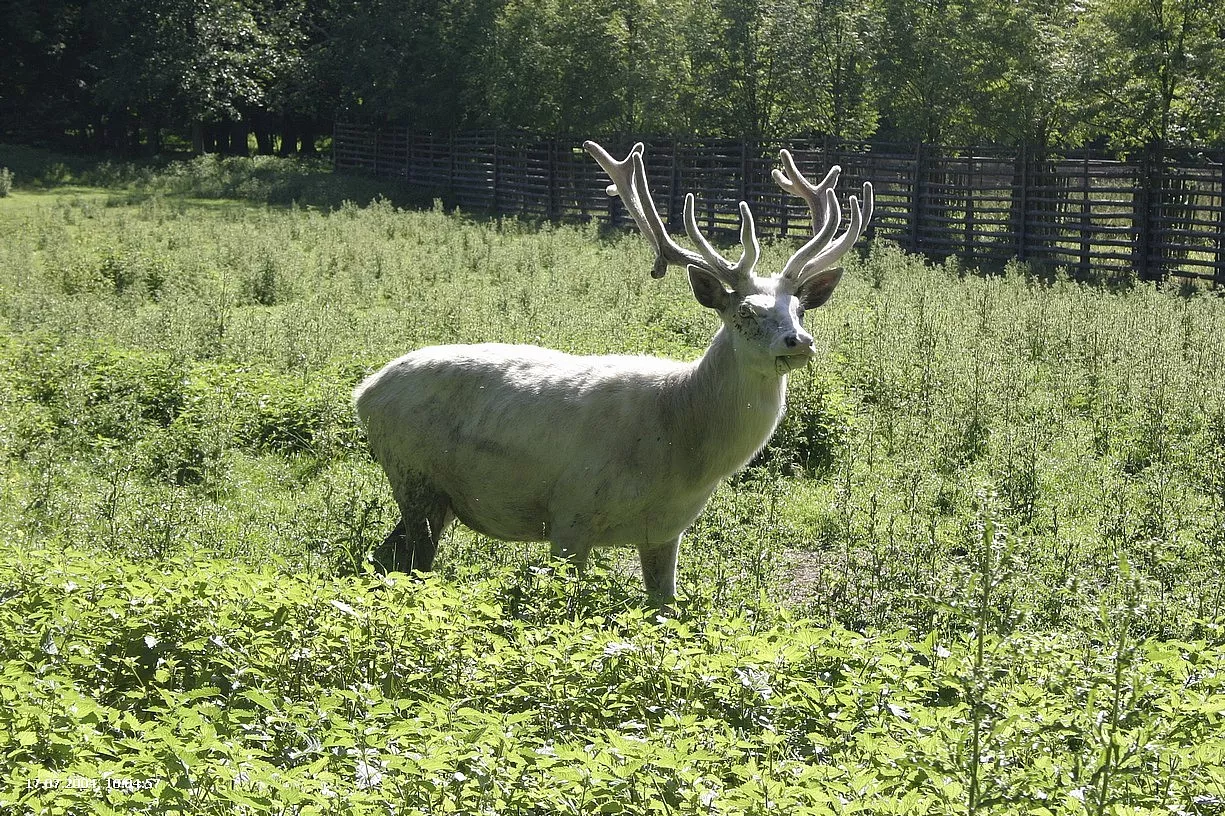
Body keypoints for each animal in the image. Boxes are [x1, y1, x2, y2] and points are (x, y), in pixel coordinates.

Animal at [353, 140, 873, 606]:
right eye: (745, 311)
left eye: (799, 309)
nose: (799, 342)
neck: (679, 450)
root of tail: (364, 392)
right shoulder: (570, 512)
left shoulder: (665, 532)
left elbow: (664, 611)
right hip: (415, 476)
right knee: (408, 562)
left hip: (431, 493)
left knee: (384, 557)